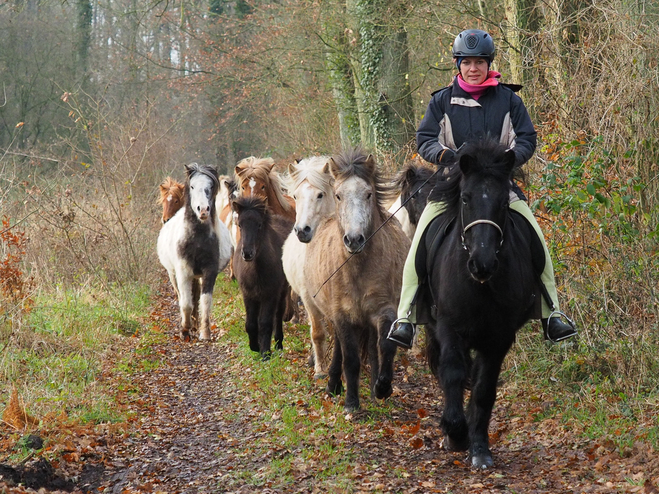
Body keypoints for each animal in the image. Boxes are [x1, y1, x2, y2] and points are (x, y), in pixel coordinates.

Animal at [232, 196, 294, 358]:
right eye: (240, 225)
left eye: (259, 225)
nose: (247, 253)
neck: (256, 271)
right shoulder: (248, 295)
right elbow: (250, 324)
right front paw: (255, 346)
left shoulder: (270, 295)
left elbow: (265, 323)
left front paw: (265, 353)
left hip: (282, 291)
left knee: (278, 314)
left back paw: (278, 343)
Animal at [306, 149, 412, 412]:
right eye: (338, 195)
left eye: (369, 193)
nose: (354, 240)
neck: (357, 270)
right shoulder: (342, 316)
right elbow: (351, 359)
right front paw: (351, 403)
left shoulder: (384, 310)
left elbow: (385, 347)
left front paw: (382, 388)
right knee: (340, 350)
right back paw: (333, 384)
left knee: (373, 348)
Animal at [428, 138, 540, 466]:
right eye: (465, 199)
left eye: (503, 203)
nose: (482, 263)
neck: (480, 286)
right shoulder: (448, 327)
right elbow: (452, 373)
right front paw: (455, 433)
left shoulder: (499, 337)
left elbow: (483, 388)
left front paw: (479, 448)